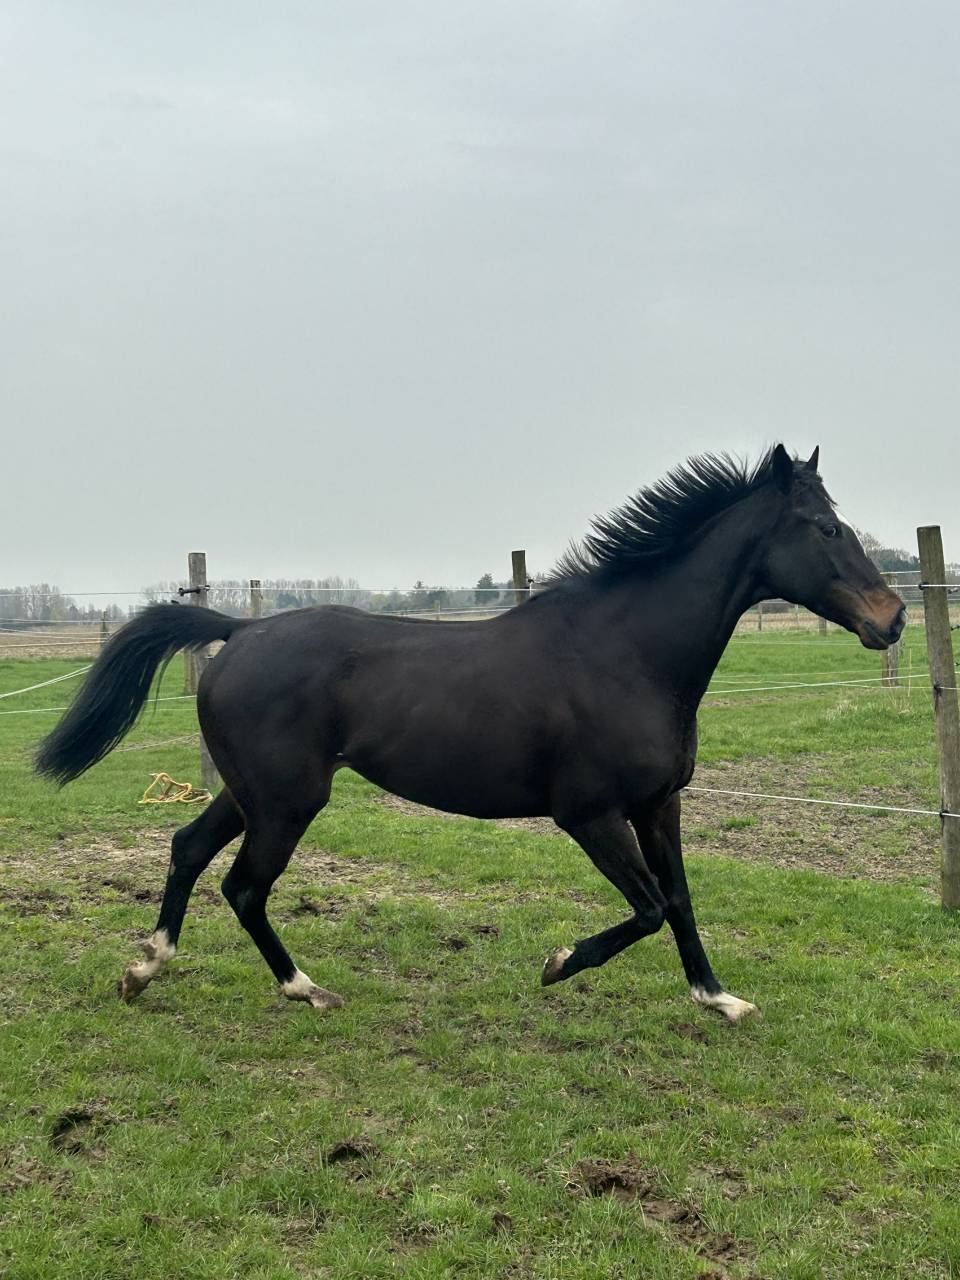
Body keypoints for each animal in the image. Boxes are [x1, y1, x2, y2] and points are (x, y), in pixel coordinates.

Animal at [36, 445, 905, 1021]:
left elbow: (682, 900)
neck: (627, 653)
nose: (892, 619)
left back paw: (144, 970)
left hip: (256, 794)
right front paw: (558, 964)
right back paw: (304, 989)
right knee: (244, 886)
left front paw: (719, 998)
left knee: (188, 849)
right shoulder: (589, 815)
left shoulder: (661, 805)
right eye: (824, 528)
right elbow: (651, 908)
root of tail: (238, 631)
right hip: (286, 803)